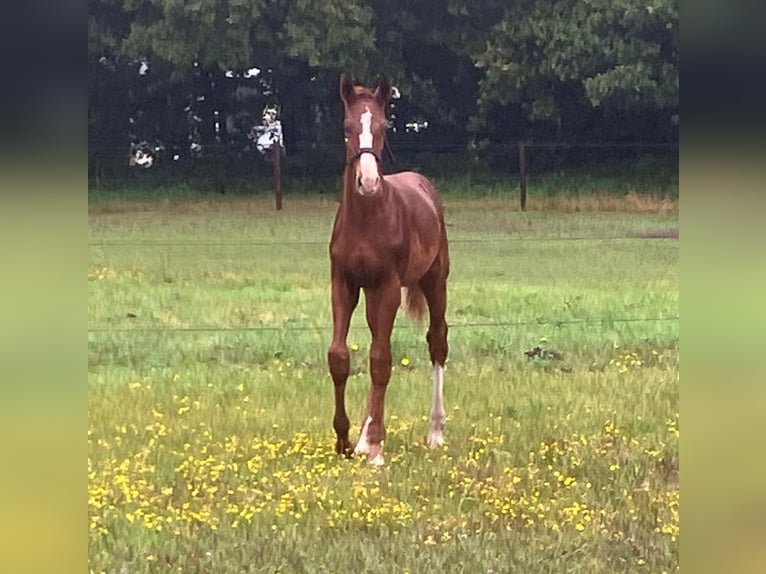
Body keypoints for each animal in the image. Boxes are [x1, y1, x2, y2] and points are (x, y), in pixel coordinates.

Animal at [328, 76, 450, 466]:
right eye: (347, 127)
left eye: (383, 126)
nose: (368, 182)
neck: (367, 219)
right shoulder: (344, 284)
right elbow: (340, 357)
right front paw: (345, 440)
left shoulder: (389, 286)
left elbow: (381, 362)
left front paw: (376, 447)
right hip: (372, 295)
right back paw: (363, 437)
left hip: (434, 280)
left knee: (437, 341)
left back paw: (435, 431)